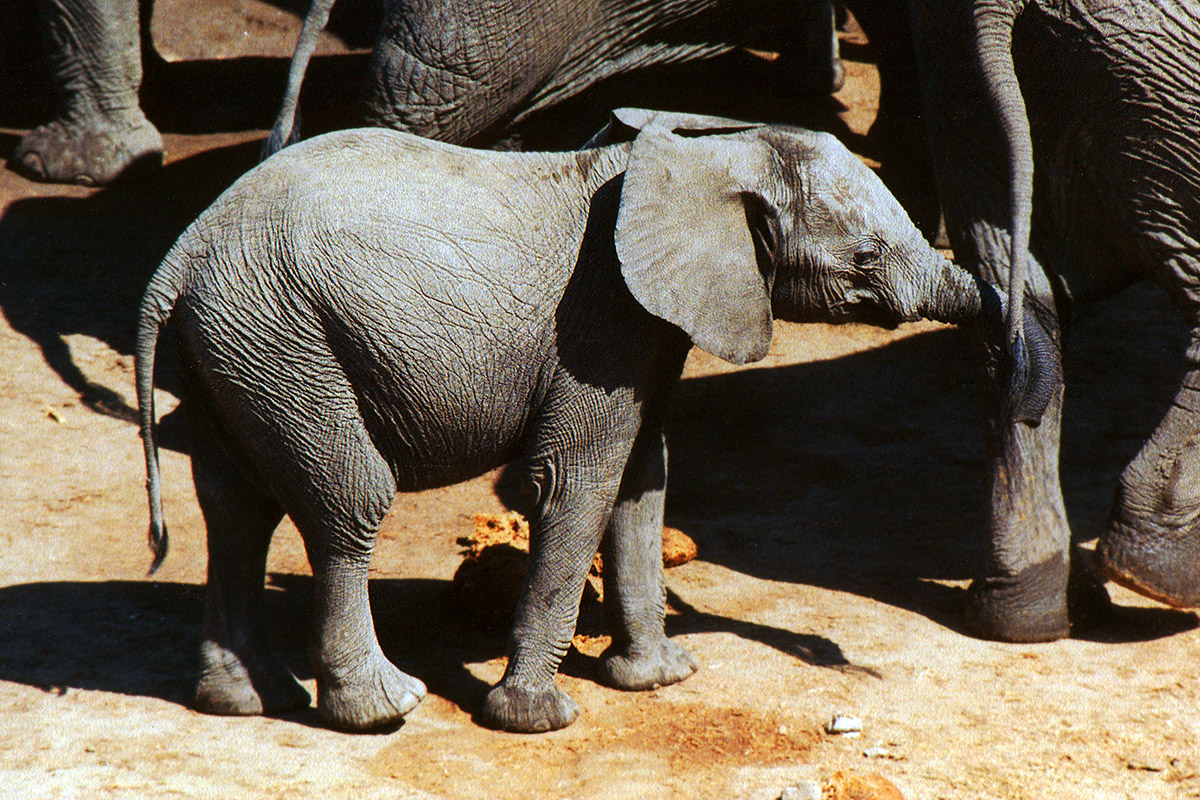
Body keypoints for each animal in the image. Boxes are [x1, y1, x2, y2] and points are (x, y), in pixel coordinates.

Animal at [133, 109, 1032, 734]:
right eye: (866, 259)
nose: (846, 669)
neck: (714, 148)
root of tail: (179, 255)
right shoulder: (601, 320)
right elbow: (577, 484)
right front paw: (537, 721)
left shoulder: (645, 328)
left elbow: (642, 482)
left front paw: (663, 679)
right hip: (285, 339)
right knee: (348, 503)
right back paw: (384, 709)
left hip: (238, 348)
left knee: (236, 510)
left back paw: (243, 700)